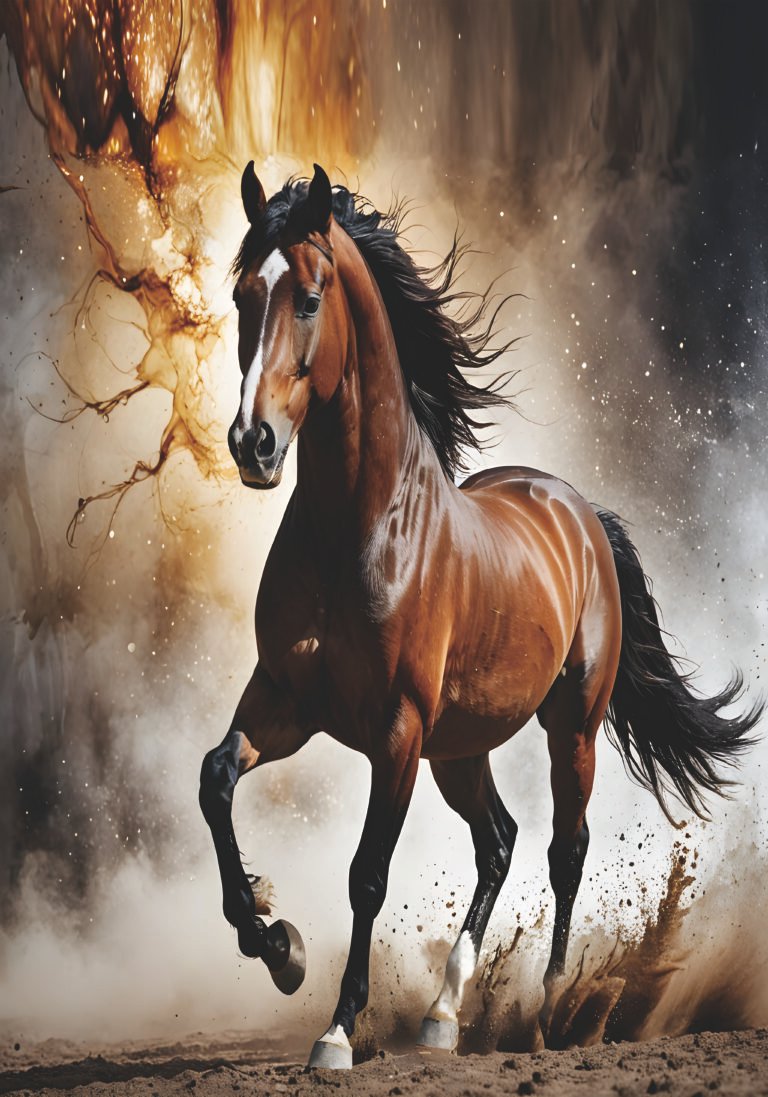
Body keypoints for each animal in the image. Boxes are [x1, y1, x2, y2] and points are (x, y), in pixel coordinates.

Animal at [199, 163, 762, 1069]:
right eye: (246, 296)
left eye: (311, 297)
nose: (253, 444)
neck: (362, 526)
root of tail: (578, 512)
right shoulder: (285, 700)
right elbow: (215, 781)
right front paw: (278, 945)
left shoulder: (395, 730)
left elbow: (366, 872)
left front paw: (335, 1028)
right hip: (458, 747)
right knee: (498, 839)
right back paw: (442, 1013)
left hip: (568, 726)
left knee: (565, 847)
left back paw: (549, 1009)